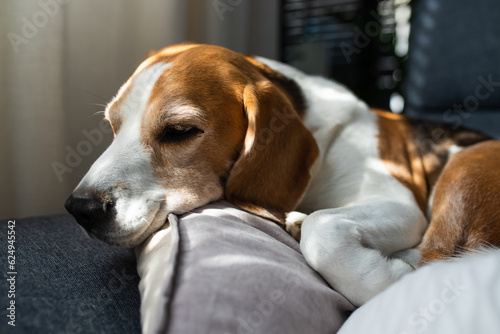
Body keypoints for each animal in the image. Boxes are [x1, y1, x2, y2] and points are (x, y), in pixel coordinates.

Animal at [65, 43, 500, 306]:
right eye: (112, 125)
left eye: (179, 131)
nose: (80, 208)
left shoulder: (397, 201)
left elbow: (324, 230)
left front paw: (384, 282)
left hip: (468, 161)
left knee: (436, 256)